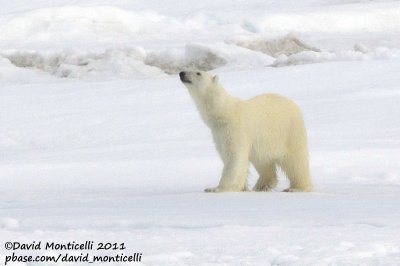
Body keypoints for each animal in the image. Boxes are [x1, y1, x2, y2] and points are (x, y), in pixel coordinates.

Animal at [180, 70, 314, 191]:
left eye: (198, 73)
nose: (182, 73)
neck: (224, 112)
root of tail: (294, 105)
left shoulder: (235, 130)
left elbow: (234, 157)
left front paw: (216, 188)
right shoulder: (218, 134)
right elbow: (226, 155)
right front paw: (242, 187)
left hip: (290, 131)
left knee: (296, 161)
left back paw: (297, 188)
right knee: (262, 160)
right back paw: (262, 185)